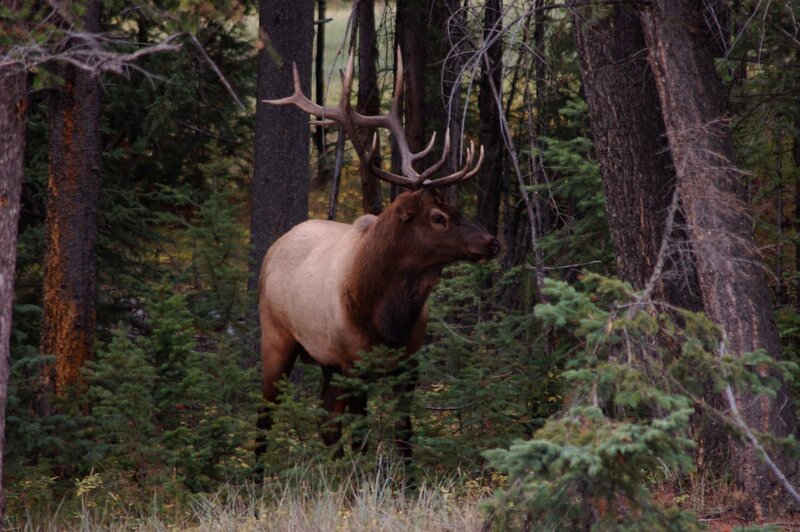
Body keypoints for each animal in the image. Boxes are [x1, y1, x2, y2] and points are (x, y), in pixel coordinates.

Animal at [256, 49, 500, 460]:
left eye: (454, 207)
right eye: (437, 217)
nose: (492, 242)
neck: (387, 317)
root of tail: (272, 249)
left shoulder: (409, 362)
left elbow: (404, 435)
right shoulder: (355, 362)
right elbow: (362, 436)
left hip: (325, 362)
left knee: (326, 422)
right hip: (276, 337)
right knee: (265, 419)